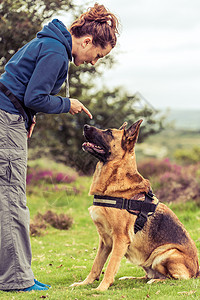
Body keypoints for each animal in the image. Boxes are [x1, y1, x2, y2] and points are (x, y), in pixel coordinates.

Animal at [71, 119, 199, 290]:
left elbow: (110, 266)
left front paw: (101, 288)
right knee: (149, 275)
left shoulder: (120, 239)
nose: (85, 126)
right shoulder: (105, 241)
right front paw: (85, 283)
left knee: (176, 278)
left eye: (109, 132)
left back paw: (157, 281)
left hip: (165, 253)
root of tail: (197, 271)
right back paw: (132, 278)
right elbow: (96, 265)